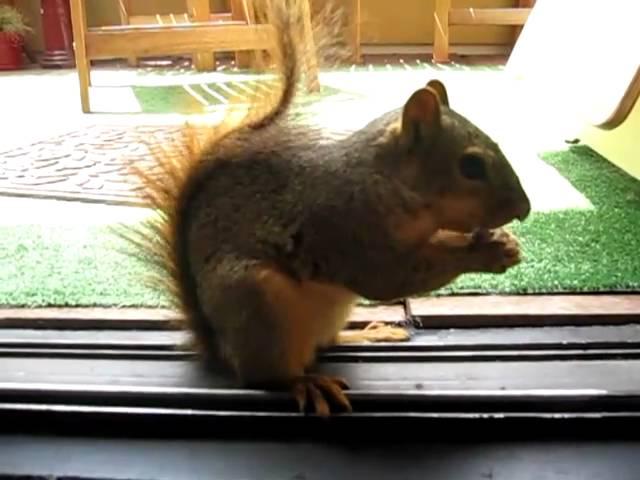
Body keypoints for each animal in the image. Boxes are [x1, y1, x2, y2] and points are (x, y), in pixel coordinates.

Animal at [117, 0, 532, 416]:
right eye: (471, 166)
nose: (525, 209)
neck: (385, 182)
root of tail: (220, 349)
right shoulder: (350, 231)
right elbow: (395, 276)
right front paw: (486, 253)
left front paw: (503, 240)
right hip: (261, 305)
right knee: (266, 376)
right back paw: (305, 382)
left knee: (324, 344)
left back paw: (368, 335)